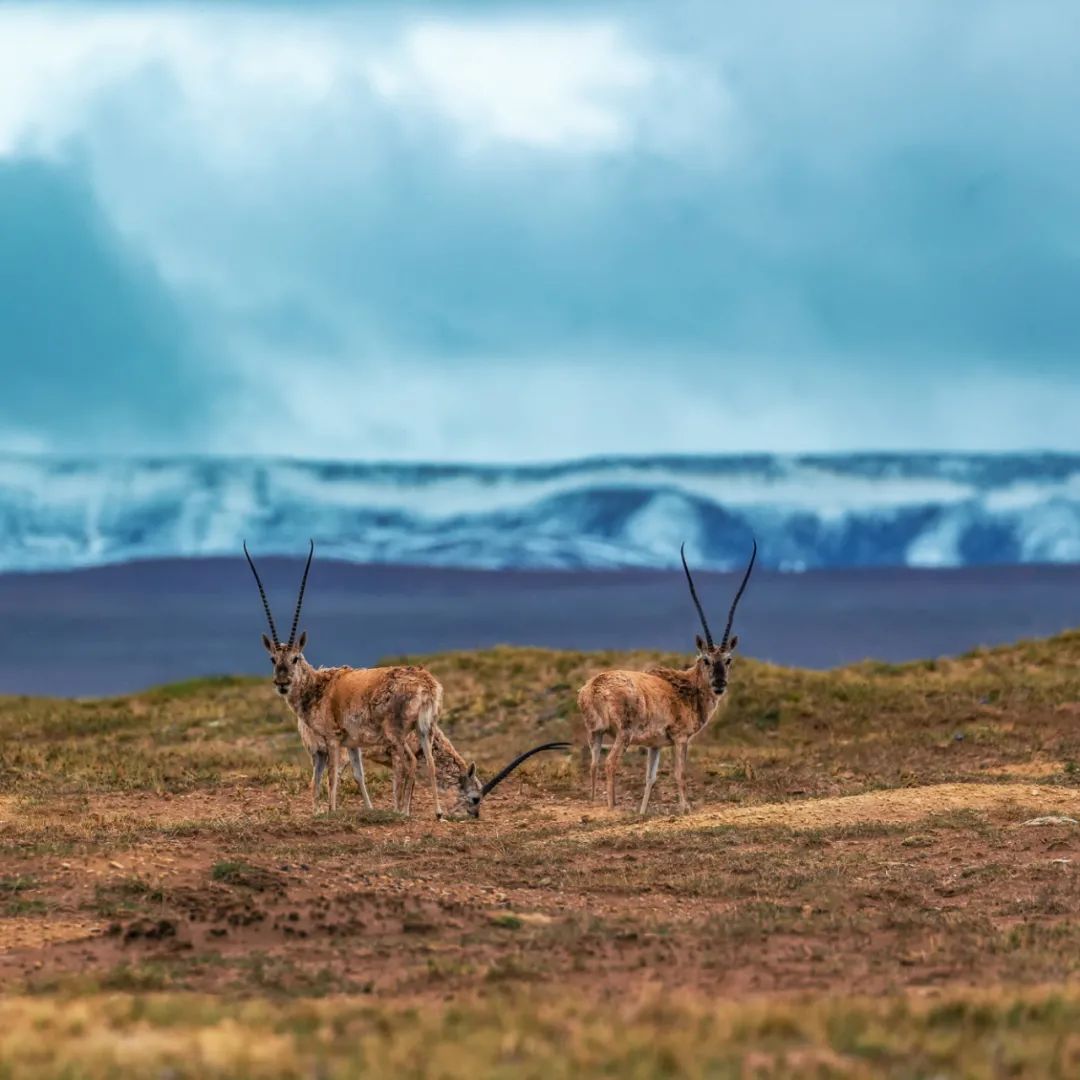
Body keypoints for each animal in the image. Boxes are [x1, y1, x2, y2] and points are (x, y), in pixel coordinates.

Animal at [578, 544, 756, 812]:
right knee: (610, 763)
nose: (719, 684)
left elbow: (650, 778)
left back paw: (593, 803)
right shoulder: (681, 739)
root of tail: (595, 687)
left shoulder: (655, 745)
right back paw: (613, 807)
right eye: (705, 659)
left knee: (593, 764)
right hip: (623, 734)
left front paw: (642, 812)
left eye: (728, 659)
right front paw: (686, 808)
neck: (686, 687)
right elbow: (679, 774)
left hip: (595, 734)